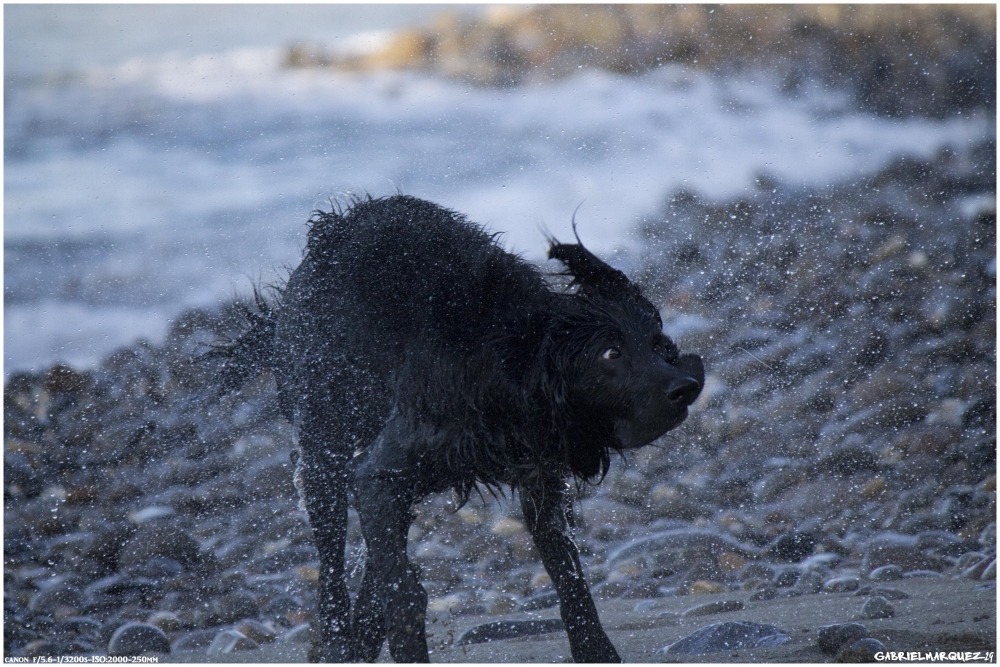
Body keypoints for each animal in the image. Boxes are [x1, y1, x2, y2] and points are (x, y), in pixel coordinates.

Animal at [219, 194, 704, 664]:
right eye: (610, 354)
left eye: (658, 345)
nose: (686, 387)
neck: (507, 362)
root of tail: (327, 232)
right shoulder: (380, 472)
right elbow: (401, 590)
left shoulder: (539, 476)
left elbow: (569, 578)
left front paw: (595, 651)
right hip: (326, 450)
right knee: (332, 574)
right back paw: (341, 644)